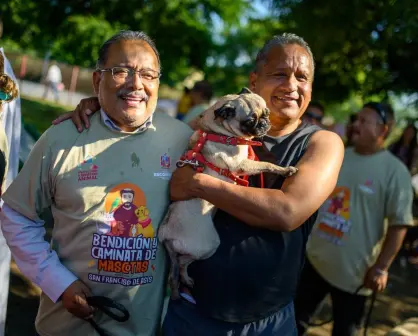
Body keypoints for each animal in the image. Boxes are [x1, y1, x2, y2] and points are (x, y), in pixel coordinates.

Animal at [157, 87, 298, 300]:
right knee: (183, 262)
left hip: (174, 255)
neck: (219, 132)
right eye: (249, 121)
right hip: (209, 246)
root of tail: (166, 231)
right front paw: (285, 170)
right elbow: (267, 165)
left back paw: (179, 287)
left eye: (266, 113)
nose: (264, 122)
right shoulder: (242, 165)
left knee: (175, 272)